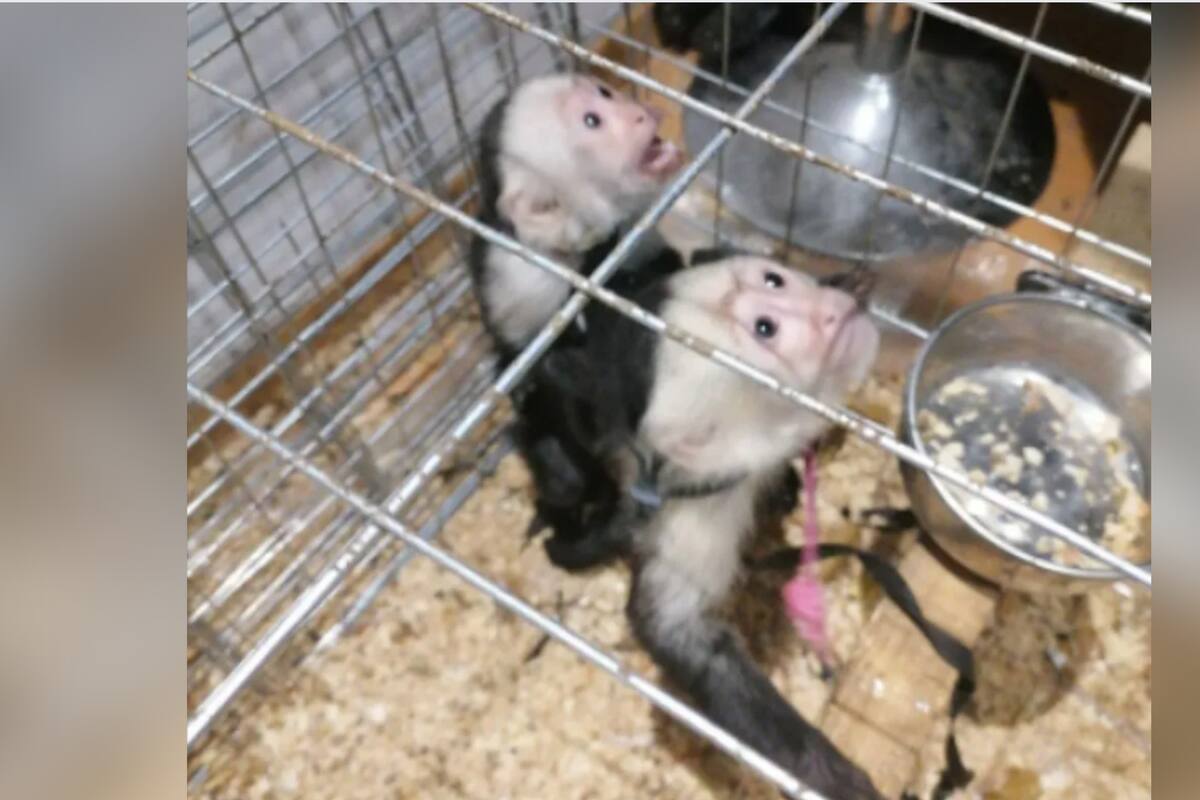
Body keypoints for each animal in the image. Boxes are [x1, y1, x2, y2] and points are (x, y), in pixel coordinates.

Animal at [541, 255, 886, 798]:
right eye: (766, 329)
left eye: (774, 280)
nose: (828, 314)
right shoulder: (687, 506)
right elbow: (683, 632)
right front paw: (826, 772)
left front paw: (852, 281)